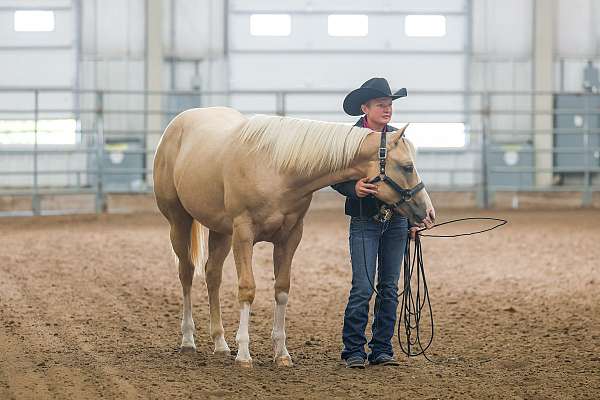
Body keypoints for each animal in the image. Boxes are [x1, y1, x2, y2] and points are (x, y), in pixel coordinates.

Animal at [152, 105, 434, 366]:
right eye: (407, 167)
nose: (428, 212)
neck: (276, 169)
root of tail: (179, 122)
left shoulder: (289, 237)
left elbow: (282, 289)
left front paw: (281, 353)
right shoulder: (243, 234)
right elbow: (247, 289)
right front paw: (244, 354)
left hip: (220, 231)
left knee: (212, 275)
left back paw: (220, 344)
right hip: (179, 222)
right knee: (186, 273)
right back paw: (188, 340)